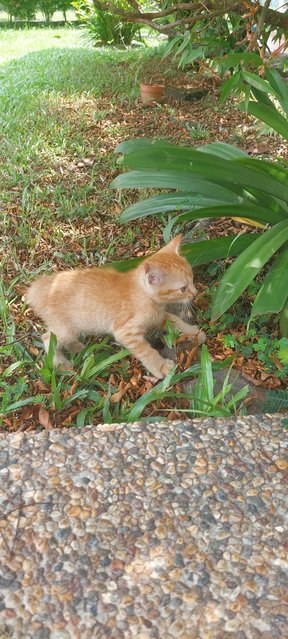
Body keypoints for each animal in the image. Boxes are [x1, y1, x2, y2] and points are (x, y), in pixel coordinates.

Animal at [27, 236, 205, 380]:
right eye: (183, 288)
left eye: (192, 279)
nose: (195, 293)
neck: (146, 297)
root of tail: (41, 287)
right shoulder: (125, 332)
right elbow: (146, 350)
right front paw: (160, 366)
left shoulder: (159, 317)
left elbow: (176, 321)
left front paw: (194, 333)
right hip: (66, 328)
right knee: (47, 338)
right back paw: (60, 362)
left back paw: (77, 347)